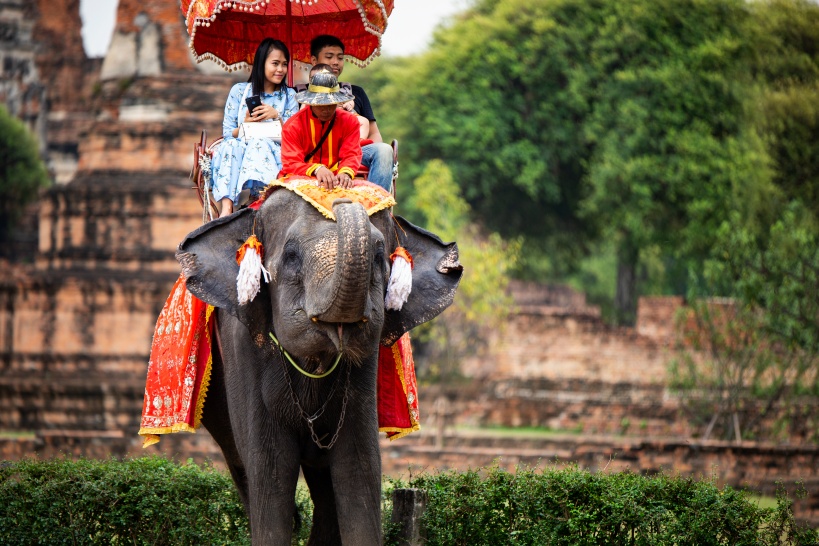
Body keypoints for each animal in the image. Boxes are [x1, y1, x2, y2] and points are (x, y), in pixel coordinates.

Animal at [176, 185, 462, 540]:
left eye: (380, 257)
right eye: (291, 256)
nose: (341, 194)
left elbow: (359, 464)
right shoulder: (242, 344)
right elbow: (271, 466)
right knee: (243, 468)